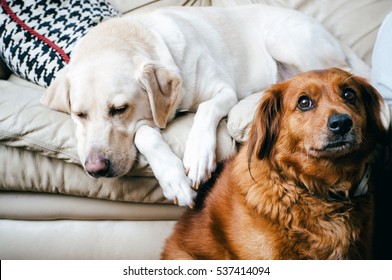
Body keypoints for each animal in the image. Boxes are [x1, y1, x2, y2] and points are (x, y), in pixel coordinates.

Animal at [41, 3, 372, 206]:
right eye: (79, 115)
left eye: (119, 109)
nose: (95, 169)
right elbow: (145, 133)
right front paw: (173, 178)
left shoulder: (223, 90)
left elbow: (205, 110)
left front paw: (198, 156)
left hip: (286, 39)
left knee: (341, 74)